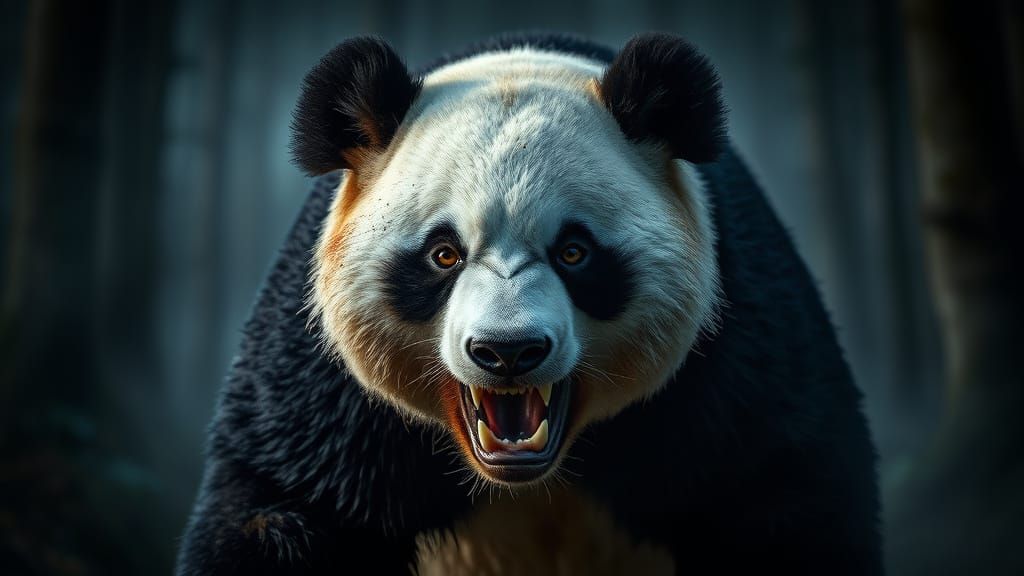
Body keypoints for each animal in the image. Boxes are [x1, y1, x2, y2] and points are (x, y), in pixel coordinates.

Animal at [177, 32, 881, 575]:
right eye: (443, 254)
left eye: (574, 251)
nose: (507, 351)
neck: (532, 477)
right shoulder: (328, 399)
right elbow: (281, 511)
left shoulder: (732, 372)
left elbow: (784, 495)